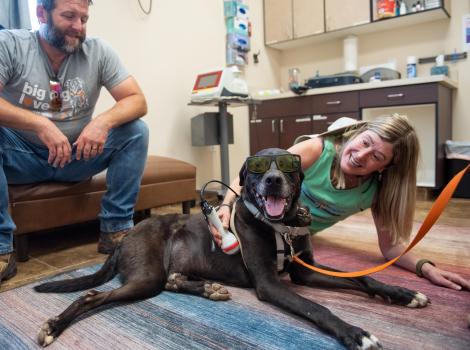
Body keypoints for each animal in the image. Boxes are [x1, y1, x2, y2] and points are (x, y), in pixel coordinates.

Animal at [35, 148, 428, 350]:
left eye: (289, 165)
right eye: (256, 168)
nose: (272, 180)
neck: (280, 226)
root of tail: (127, 235)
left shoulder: (304, 270)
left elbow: (362, 280)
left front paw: (403, 292)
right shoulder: (270, 284)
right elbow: (316, 308)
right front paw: (356, 333)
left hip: (162, 273)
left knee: (172, 280)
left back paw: (208, 288)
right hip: (146, 275)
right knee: (93, 295)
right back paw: (54, 325)